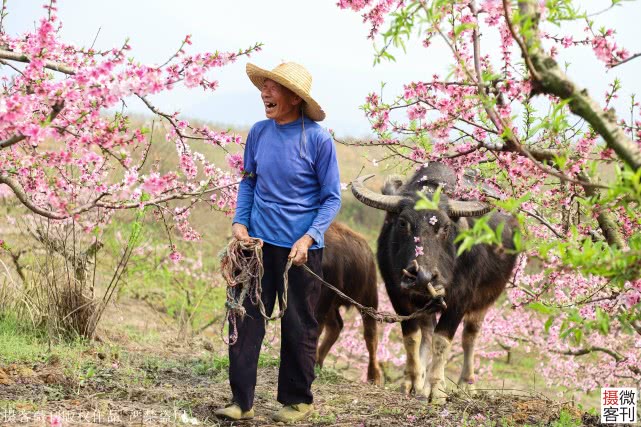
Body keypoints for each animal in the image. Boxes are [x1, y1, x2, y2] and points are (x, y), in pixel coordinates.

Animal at [316, 222, 380, 386]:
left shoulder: (327, 290)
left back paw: (373, 376)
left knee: (371, 335)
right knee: (336, 326)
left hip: (368, 298)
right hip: (333, 304)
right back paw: (318, 362)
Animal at [350, 163, 516, 404]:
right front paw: (412, 382)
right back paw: (422, 380)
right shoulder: (398, 296)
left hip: (486, 298)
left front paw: (436, 390)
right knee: (427, 332)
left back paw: (466, 383)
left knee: (470, 336)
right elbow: (412, 338)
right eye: (403, 223)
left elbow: (442, 340)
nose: (423, 277)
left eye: (445, 227)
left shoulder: (460, 299)